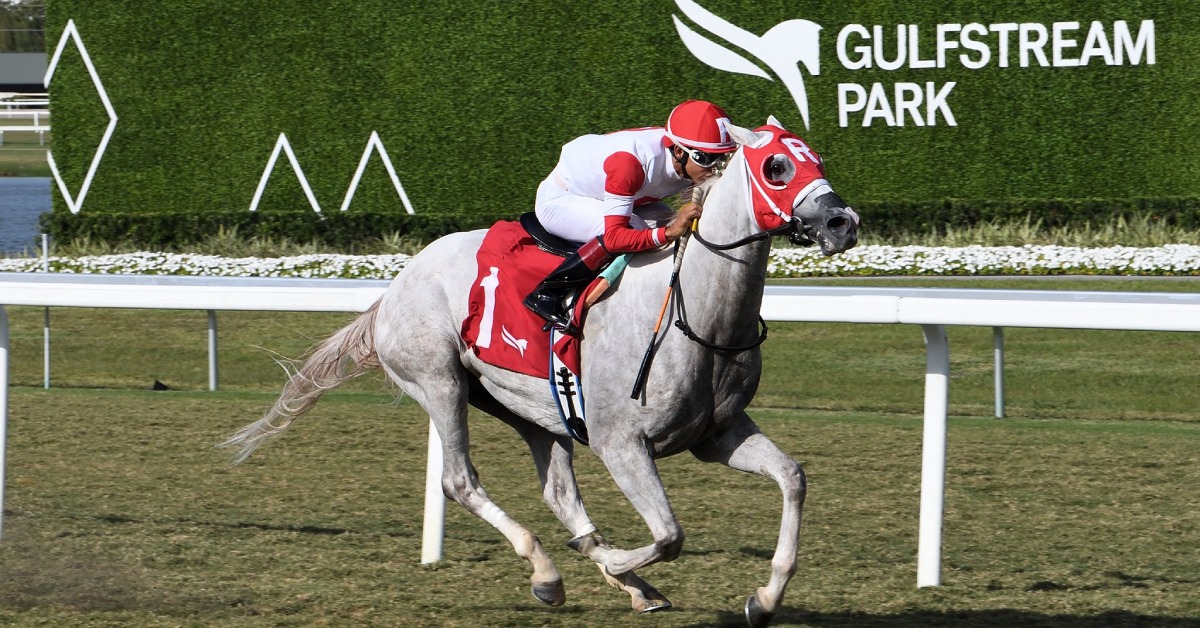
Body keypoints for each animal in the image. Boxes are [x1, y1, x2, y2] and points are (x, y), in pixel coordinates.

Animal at [220, 116, 859, 627]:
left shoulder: (716, 434)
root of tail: (395, 286)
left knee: (557, 490)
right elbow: (668, 535)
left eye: (819, 160)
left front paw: (764, 599)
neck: (698, 315)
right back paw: (551, 572)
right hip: (438, 380)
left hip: (530, 409)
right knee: (460, 481)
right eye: (777, 166)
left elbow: (793, 478)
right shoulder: (622, 442)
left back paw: (617, 579)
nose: (842, 222)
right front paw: (613, 563)